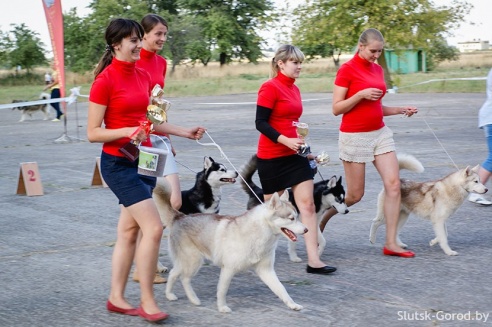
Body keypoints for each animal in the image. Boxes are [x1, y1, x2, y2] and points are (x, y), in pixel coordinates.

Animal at [154, 181, 308, 314]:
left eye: (297, 216)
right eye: (291, 218)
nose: (306, 230)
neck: (259, 234)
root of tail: (180, 217)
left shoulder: (266, 270)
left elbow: (281, 289)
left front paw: (292, 304)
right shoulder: (228, 269)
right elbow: (222, 291)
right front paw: (222, 307)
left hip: (187, 262)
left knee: (174, 273)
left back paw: (170, 295)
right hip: (193, 261)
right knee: (184, 278)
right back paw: (193, 298)